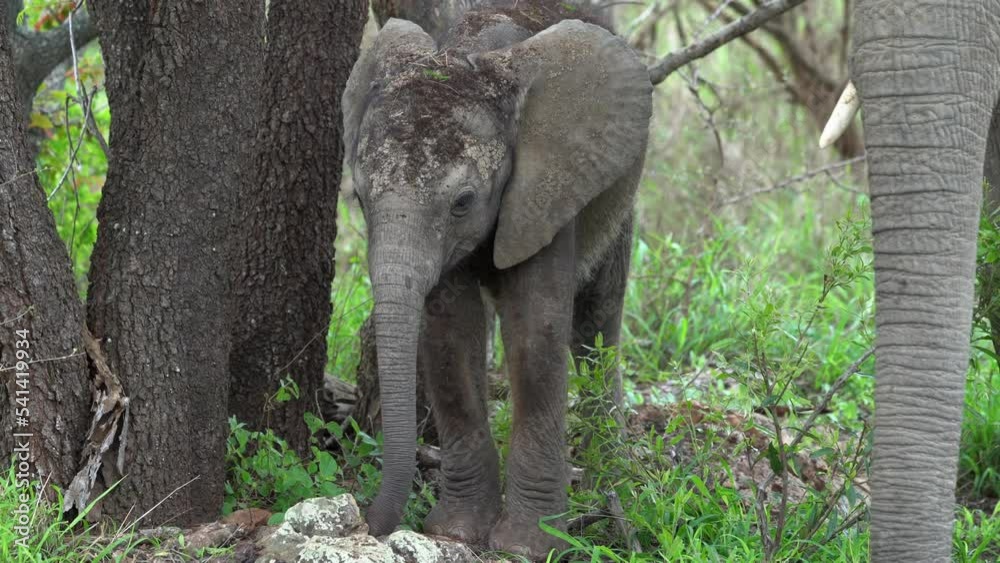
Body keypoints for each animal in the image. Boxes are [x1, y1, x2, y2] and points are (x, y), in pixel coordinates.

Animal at [341, 0, 652, 558]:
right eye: (358, 196)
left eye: (463, 202)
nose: (366, 521)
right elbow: (449, 334)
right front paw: (456, 531)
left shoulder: (548, 187)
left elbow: (534, 331)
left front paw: (529, 546)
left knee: (598, 322)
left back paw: (615, 482)